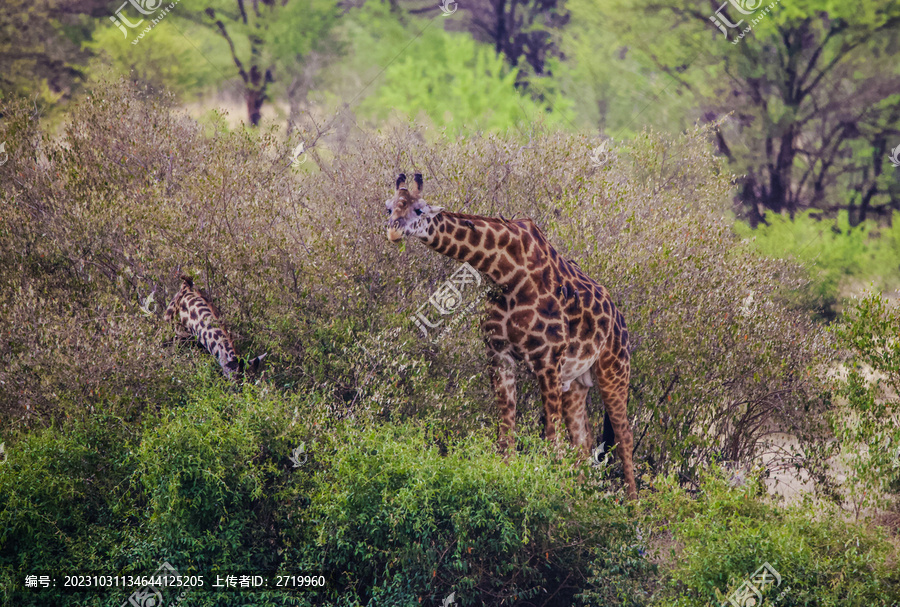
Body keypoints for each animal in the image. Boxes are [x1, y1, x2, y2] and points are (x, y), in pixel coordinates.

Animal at [384, 171, 636, 498]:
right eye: (389, 208)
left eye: (418, 210)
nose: (393, 231)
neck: (505, 271)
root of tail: (620, 320)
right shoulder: (498, 353)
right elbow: (506, 437)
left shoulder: (548, 360)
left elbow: (551, 442)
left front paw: (552, 497)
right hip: (577, 381)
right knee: (583, 441)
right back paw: (583, 498)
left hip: (614, 371)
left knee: (624, 437)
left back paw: (633, 509)